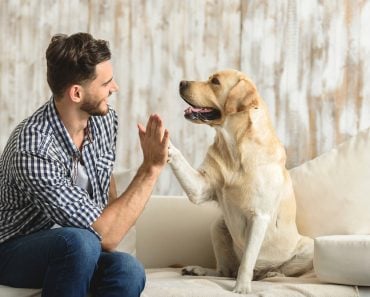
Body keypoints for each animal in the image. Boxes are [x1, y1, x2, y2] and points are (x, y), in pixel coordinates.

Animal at [169, 70, 314, 294]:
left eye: (215, 82)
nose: (182, 82)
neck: (234, 146)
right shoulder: (200, 188)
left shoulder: (259, 216)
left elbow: (247, 261)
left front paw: (242, 288)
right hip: (217, 226)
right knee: (224, 271)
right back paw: (198, 270)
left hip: (308, 247)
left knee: (277, 270)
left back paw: (271, 273)